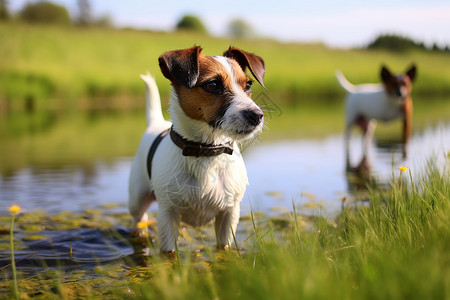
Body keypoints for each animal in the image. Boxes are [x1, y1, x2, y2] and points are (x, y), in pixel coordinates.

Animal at [128, 46, 266, 253]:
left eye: (248, 85)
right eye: (213, 85)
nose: (256, 115)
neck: (206, 151)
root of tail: (156, 122)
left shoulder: (229, 214)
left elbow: (223, 248)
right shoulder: (167, 214)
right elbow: (168, 252)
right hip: (136, 200)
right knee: (139, 220)